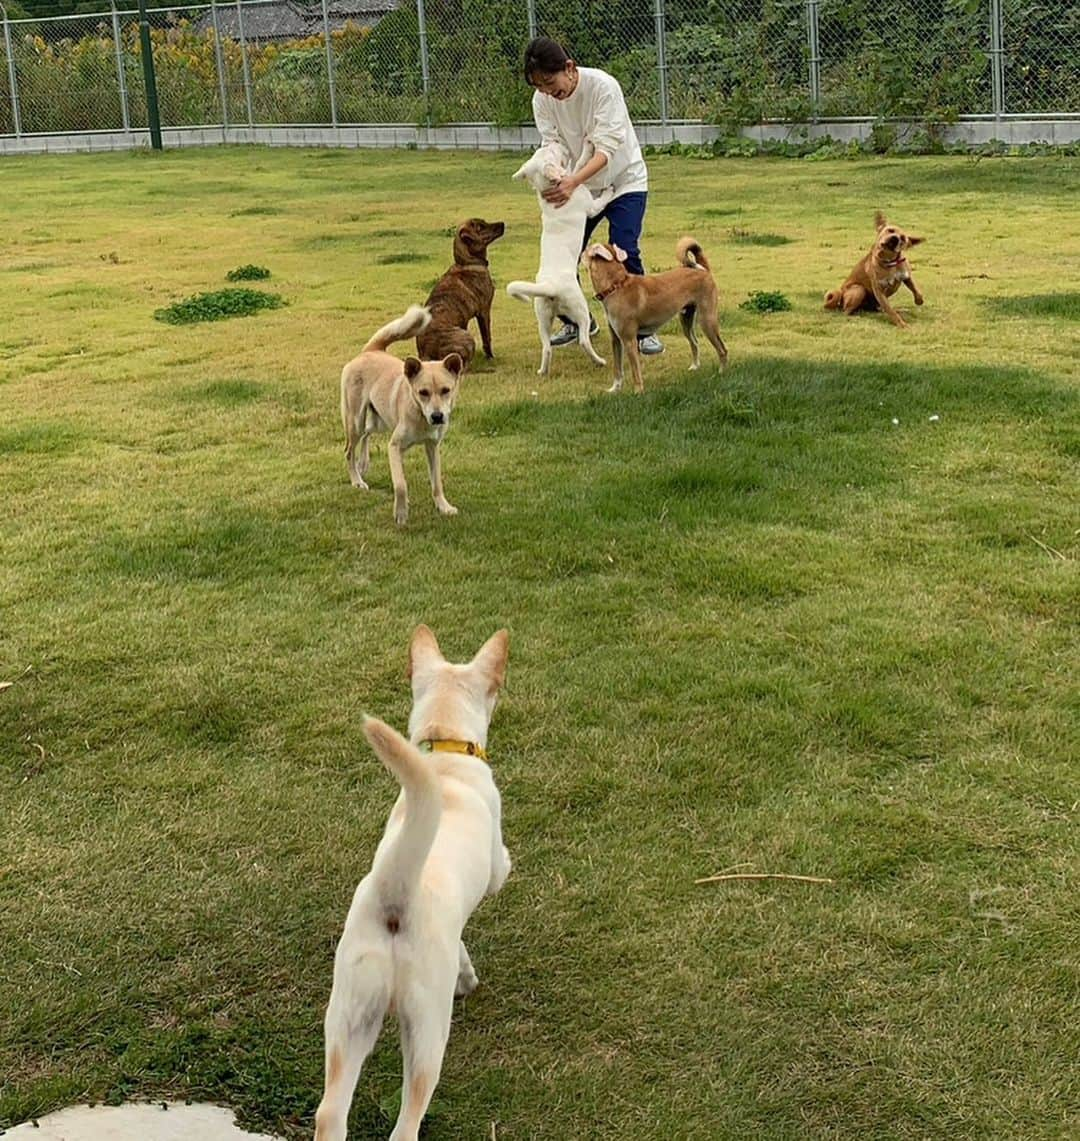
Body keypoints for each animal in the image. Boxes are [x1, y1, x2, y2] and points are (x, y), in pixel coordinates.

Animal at [314, 625, 513, 1141]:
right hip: (426, 1030)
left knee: (330, 1113)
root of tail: (396, 890)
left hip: (347, 1016)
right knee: (407, 1123)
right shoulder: (494, 860)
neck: (443, 751)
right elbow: (500, 870)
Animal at [342, 308, 465, 529]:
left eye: (446, 390)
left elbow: (437, 483)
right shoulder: (394, 447)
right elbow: (400, 484)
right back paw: (357, 480)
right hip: (355, 420)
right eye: (423, 392)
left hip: (378, 421)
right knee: (349, 450)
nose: (437, 416)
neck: (421, 417)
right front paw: (401, 513)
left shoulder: (432, 447)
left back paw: (363, 463)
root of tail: (370, 350)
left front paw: (443, 507)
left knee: (366, 435)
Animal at [417, 215, 510, 367]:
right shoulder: (484, 311)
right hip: (467, 336)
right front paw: (490, 357)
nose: (502, 223)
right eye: (480, 227)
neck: (467, 262)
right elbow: (487, 337)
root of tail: (425, 353)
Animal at [501, 144, 611, 376]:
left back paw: (543, 371)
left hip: (542, 318)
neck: (548, 189)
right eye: (550, 153)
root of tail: (550, 287)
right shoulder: (590, 206)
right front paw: (610, 190)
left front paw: (587, 149)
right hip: (580, 309)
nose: (552, 144)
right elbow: (600, 199)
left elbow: (579, 165)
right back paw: (600, 361)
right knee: (584, 341)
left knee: (546, 348)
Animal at [583, 233, 725, 394]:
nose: (581, 251)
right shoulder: (616, 340)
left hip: (707, 320)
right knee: (694, 342)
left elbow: (635, 371)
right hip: (686, 319)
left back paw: (721, 372)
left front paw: (638, 392)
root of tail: (703, 270)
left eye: (586, 250)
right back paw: (695, 366)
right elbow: (617, 369)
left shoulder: (629, 341)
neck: (616, 286)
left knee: (722, 349)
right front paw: (615, 389)